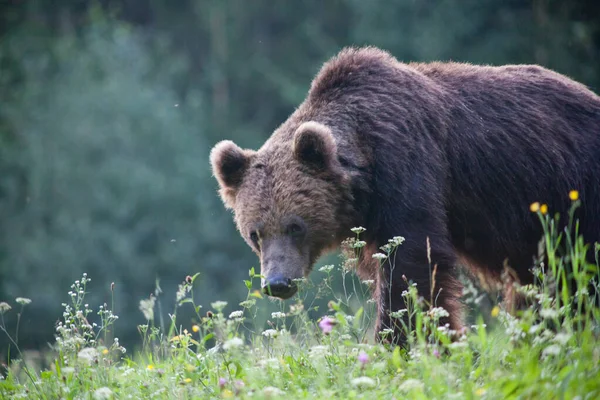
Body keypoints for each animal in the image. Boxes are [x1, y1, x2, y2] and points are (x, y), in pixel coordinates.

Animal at [210, 46, 600, 344]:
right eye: (255, 233)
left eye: (296, 226)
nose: (277, 283)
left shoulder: (409, 167)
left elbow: (412, 265)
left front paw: (401, 342)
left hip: (571, 191)